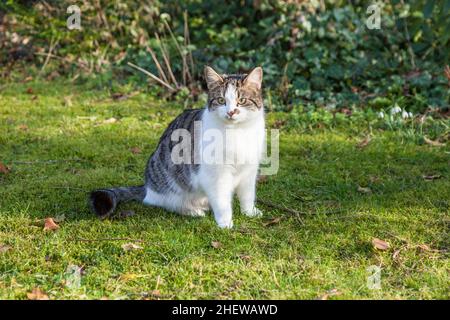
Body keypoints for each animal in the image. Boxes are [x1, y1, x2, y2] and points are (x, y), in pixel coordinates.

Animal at [89, 65, 266, 228]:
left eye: (241, 101)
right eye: (221, 100)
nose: (231, 112)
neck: (237, 132)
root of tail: (147, 187)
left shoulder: (249, 171)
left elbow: (247, 195)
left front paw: (249, 212)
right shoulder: (216, 174)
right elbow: (222, 201)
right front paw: (225, 223)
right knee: (165, 202)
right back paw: (192, 210)